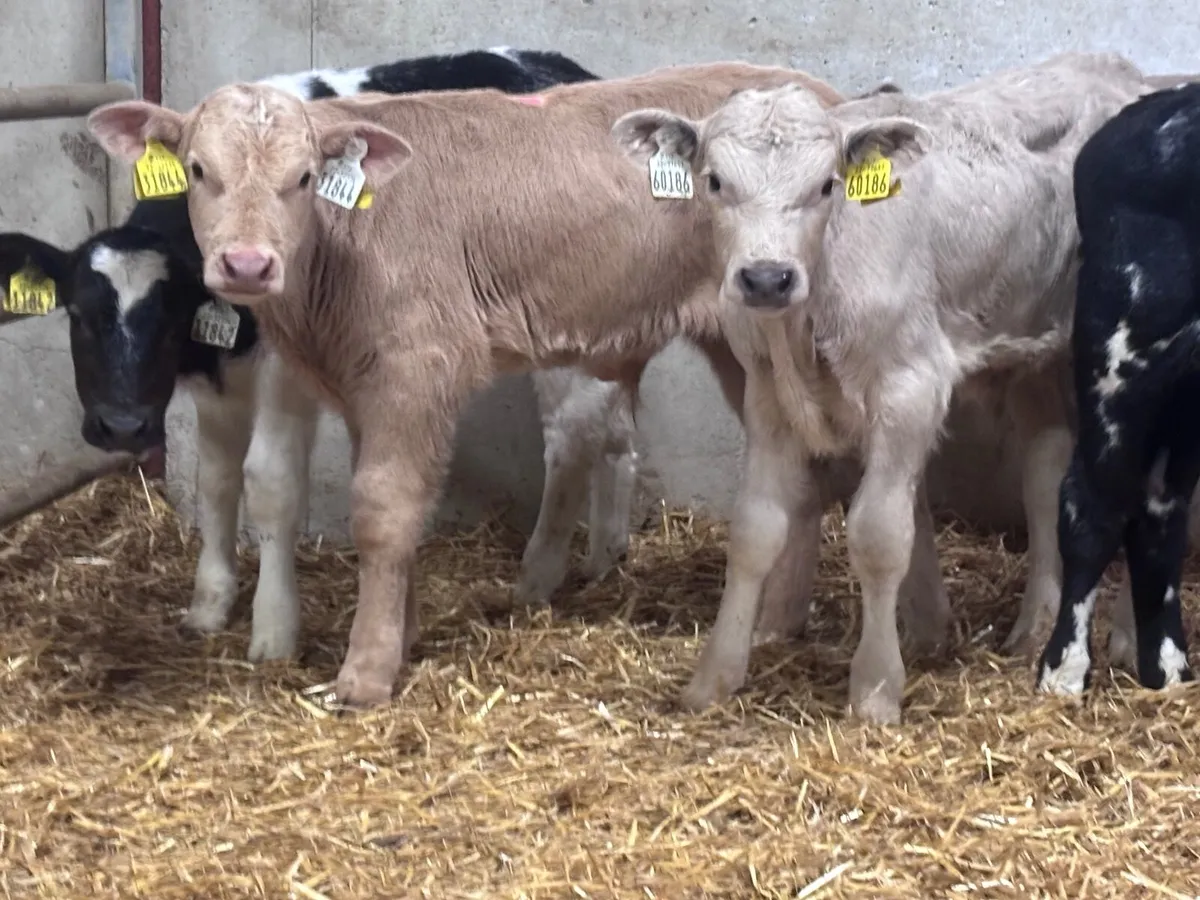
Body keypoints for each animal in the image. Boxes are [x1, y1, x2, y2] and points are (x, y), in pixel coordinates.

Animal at [0, 48, 644, 662]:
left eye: (167, 317)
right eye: (77, 315)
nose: (122, 426)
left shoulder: (286, 372)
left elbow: (270, 483)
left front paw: (274, 629)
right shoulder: (215, 385)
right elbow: (216, 481)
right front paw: (209, 604)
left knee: (574, 432)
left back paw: (536, 578)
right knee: (613, 426)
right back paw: (604, 553)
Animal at [82, 61, 972, 708]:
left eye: (304, 177)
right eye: (198, 170)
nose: (245, 264)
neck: (341, 253)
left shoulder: (416, 364)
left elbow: (382, 508)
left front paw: (366, 672)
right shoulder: (369, 383)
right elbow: (400, 510)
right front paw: (400, 634)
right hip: (749, 338)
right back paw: (804, 626)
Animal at [611, 52, 1150, 723]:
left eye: (826, 185)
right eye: (713, 182)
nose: (766, 277)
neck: (805, 326)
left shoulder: (909, 386)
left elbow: (879, 535)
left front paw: (874, 689)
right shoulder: (767, 396)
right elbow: (755, 530)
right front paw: (713, 679)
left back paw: (1129, 640)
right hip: (1038, 353)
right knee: (1046, 473)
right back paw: (1034, 629)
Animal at [1036, 81, 1200, 697]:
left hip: (1185, 396)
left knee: (1159, 510)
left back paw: (1169, 668)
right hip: (1121, 352)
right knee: (1093, 503)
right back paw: (1063, 672)